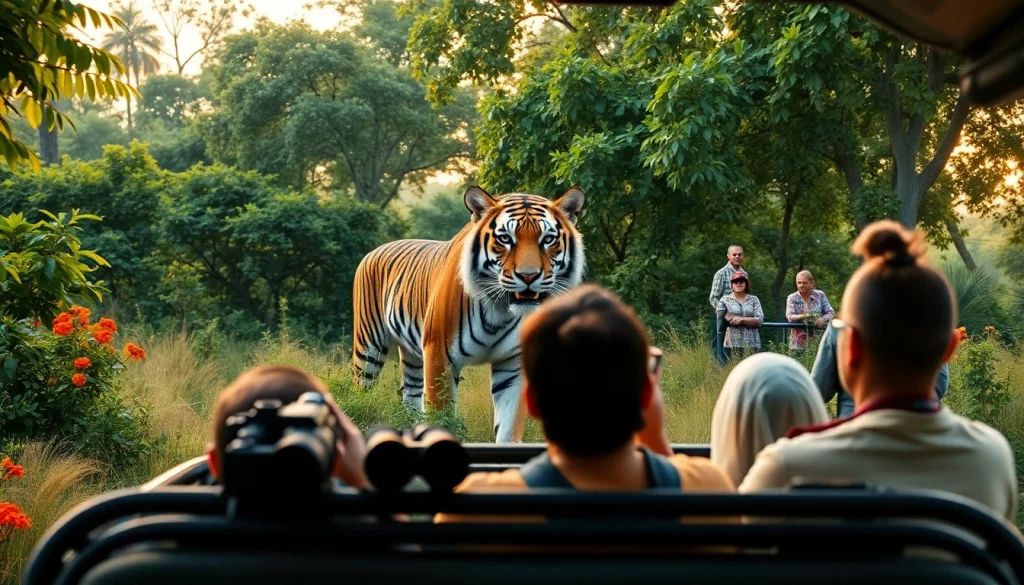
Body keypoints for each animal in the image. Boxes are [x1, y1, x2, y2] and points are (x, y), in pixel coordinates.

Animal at [351, 186, 586, 443]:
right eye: (505, 239)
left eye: (548, 239)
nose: (528, 276)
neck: (500, 310)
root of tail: (374, 250)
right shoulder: (438, 356)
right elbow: (441, 417)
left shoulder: (513, 363)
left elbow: (508, 427)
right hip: (369, 347)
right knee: (360, 390)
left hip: (412, 356)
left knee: (410, 396)